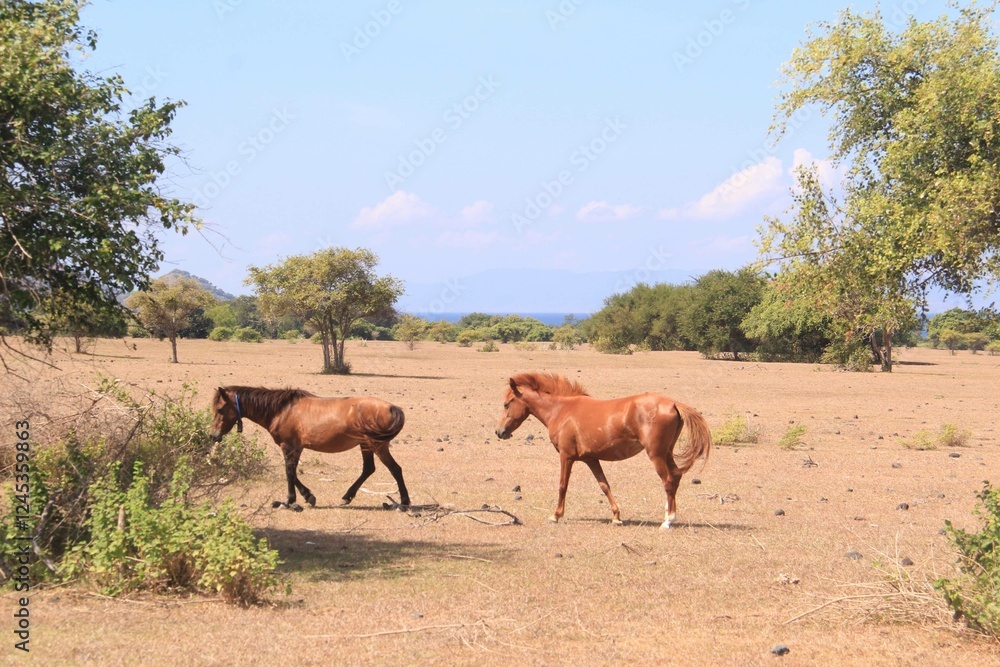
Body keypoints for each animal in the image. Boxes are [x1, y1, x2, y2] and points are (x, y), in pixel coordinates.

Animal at [210, 386, 409, 511]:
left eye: (220, 410)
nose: (213, 436)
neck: (282, 410)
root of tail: (391, 407)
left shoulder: (288, 447)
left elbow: (289, 472)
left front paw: (288, 501)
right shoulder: (296, 448)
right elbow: (293, 473)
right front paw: (308, 496)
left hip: (376, 445)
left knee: (395, 469)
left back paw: (405, 502)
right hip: (366, 445)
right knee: (369, 469)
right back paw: (347, 496)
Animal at [494, 372, 712, 529]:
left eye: (506, 404)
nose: (499, 431)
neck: (561, 410)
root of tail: (673, 403)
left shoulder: (566, 457)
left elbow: (563, 485)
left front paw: (555, 515)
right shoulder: (591, 459)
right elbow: (604, 485)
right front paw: (616, 517)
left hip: (656, 454)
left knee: (668, 481)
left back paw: (668, 521)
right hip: (666, 453)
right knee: (675, 477)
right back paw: (668, 513)